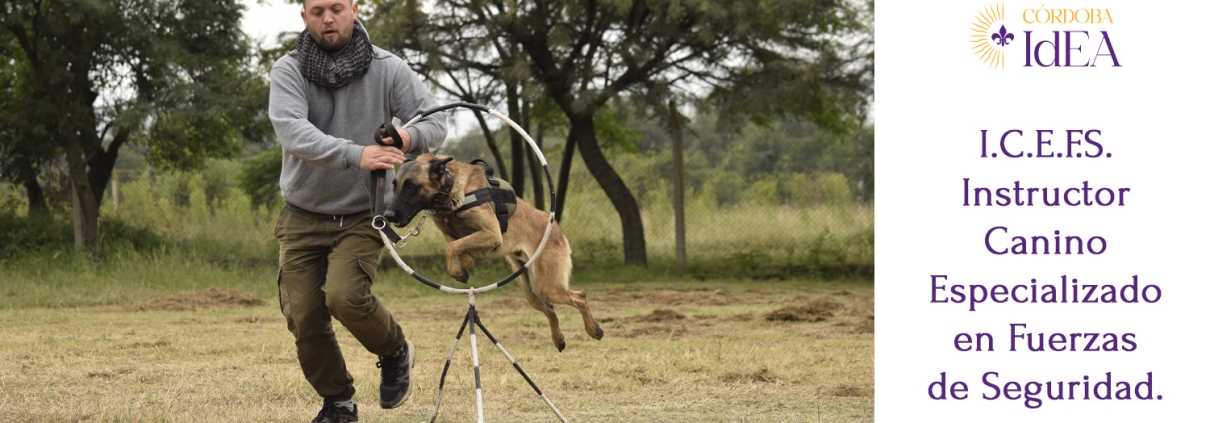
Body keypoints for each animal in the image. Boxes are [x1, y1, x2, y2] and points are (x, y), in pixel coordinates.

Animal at [384, 153, 602, 352]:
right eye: (394, 185)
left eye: (411, 186)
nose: (387, 215)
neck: (450, 186)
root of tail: (555, 227)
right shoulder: (451, 232)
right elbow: (455, 245)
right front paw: (465, 264)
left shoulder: (491, 233)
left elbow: (452, 247)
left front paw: (458, 271)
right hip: (531, 291)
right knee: (551, 310)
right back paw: (559, 340)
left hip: (546, 286)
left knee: (580, 297)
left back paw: (594, 329)